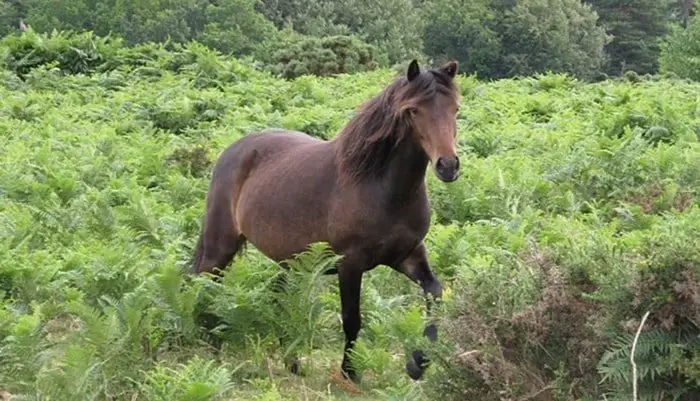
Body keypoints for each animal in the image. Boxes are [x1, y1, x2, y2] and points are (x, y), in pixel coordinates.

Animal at [194, 58, 462, 382]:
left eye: (455, 109)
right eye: (413, 110)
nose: (448, 166)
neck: (383, 188)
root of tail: (233, 150)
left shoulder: (407, 255)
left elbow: (436, 293)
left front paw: (417, 364)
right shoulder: (350, 263)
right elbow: (351, 318)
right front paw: (350, 373)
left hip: (291, 261)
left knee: (278, 297)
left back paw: (292, 362)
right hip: (221, 246)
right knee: (206, 285)